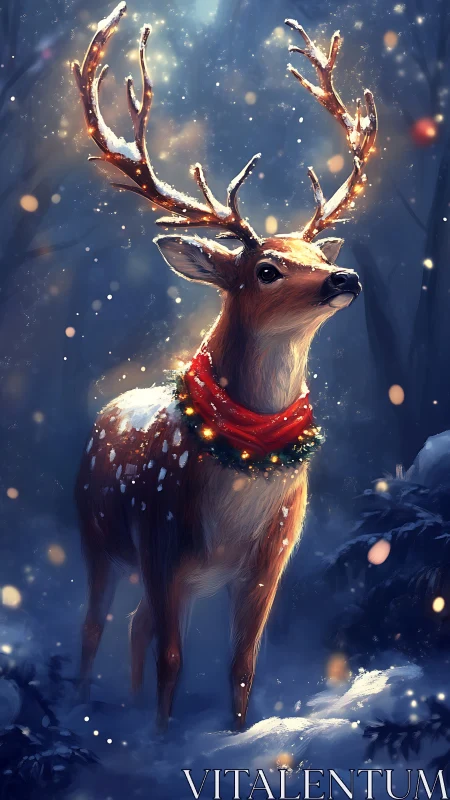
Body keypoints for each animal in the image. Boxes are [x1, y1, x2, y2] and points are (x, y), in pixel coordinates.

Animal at [72, 2, 377, 730]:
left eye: (316, 255)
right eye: (267, 269)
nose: (345, 278)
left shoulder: (276, 552)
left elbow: (241, 665)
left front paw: (233, 733)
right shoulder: (160, 534)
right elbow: (173, 661)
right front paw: (163, 741)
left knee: (132, 625)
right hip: (95, 533)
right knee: (98, 626)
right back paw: (85, 704)